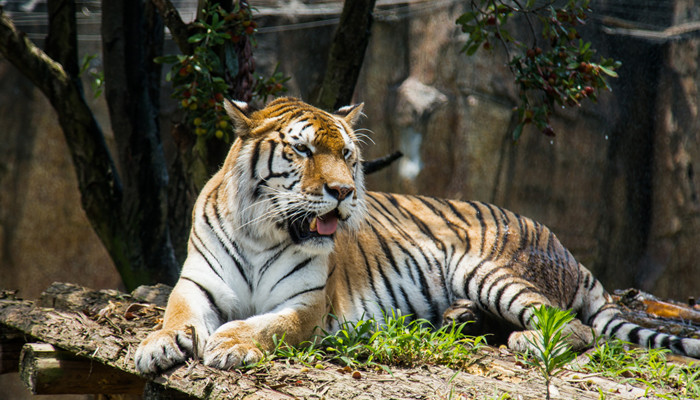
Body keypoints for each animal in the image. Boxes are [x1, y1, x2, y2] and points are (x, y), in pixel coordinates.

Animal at [134, 97, 700, 373]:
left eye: (346, 154)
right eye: (301, 150)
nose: (343, 192)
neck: (263, 234)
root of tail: (568, 250)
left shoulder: (308, 304)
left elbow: (270, 325)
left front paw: (231, 344)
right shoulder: (197, 284)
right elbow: (175, 312)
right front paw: (156, 347)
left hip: (487, 269)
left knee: (573, 327)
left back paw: (523, 340)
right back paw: (459, 319)